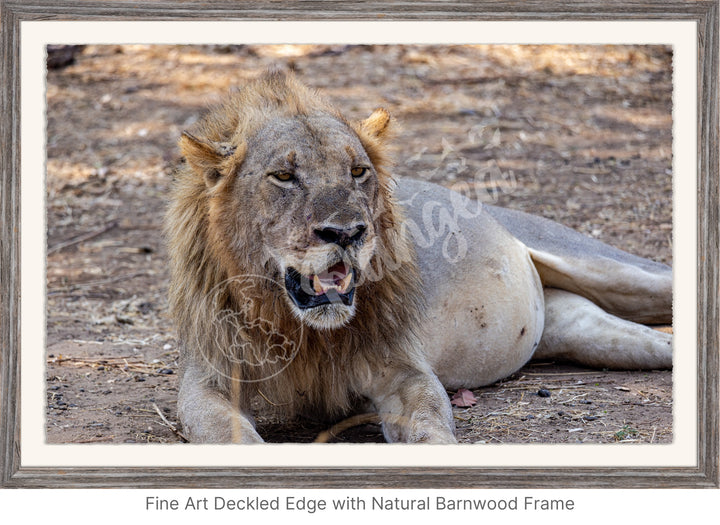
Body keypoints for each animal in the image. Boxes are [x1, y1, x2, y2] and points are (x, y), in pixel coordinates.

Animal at [166, 69, 672, 442]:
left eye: (357, 171)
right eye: (284, 176)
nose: (346, 232)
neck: (301, 331)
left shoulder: (404, 369)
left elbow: (429, 424)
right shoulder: (208, 382)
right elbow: (229, 433)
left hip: (609, 268)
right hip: (590, 333)